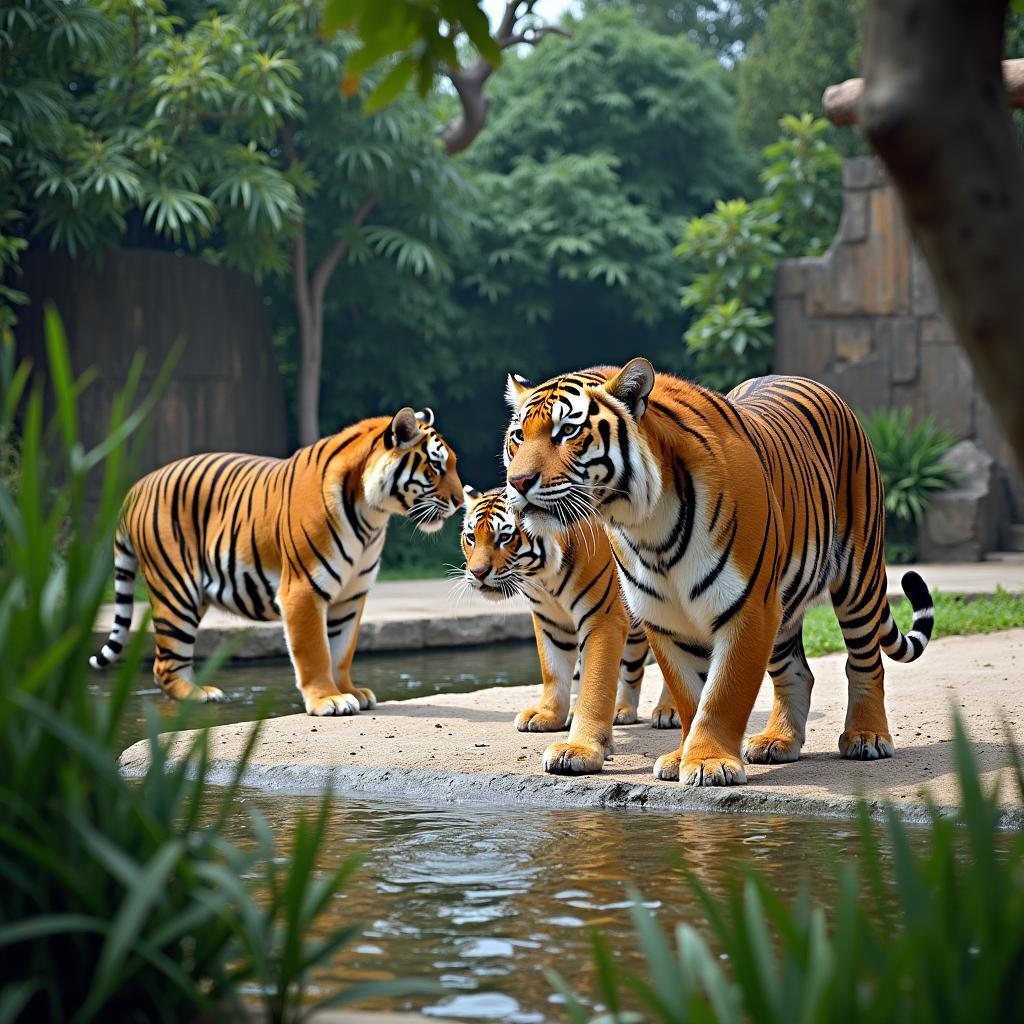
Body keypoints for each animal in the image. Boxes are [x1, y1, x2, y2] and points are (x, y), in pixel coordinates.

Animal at [90, 405, 466, 712]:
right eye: (435, 468)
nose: (461, 501)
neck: (371, 513)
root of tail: (137, 487)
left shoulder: (351, 595)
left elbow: (341, 651)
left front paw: (350, 691)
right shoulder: (303, 589)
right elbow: (315, 650)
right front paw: (329, 700)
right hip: (175, 592)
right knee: (165, 664)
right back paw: (201, 694)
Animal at [503, 364, 937, 786]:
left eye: (567, 431)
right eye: (518, 437)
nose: (517, 482)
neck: (646, 526)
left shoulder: (750, 608)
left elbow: (723, 694)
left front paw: (709, 762)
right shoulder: (664, 616)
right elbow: (689, 695)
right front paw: (682, 757)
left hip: (857, 577)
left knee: (865, 662)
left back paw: (867, 736)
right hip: (784, 608)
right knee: (798, 673)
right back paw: (778, 741)